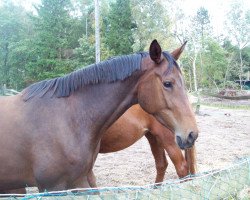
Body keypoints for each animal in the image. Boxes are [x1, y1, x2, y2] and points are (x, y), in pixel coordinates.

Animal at [0, 39, 199, 191]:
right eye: (167, 83)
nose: (192, 133)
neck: (69, 116)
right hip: (153, 136)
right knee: (162, 165)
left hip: (166, 137)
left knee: (181, 169)